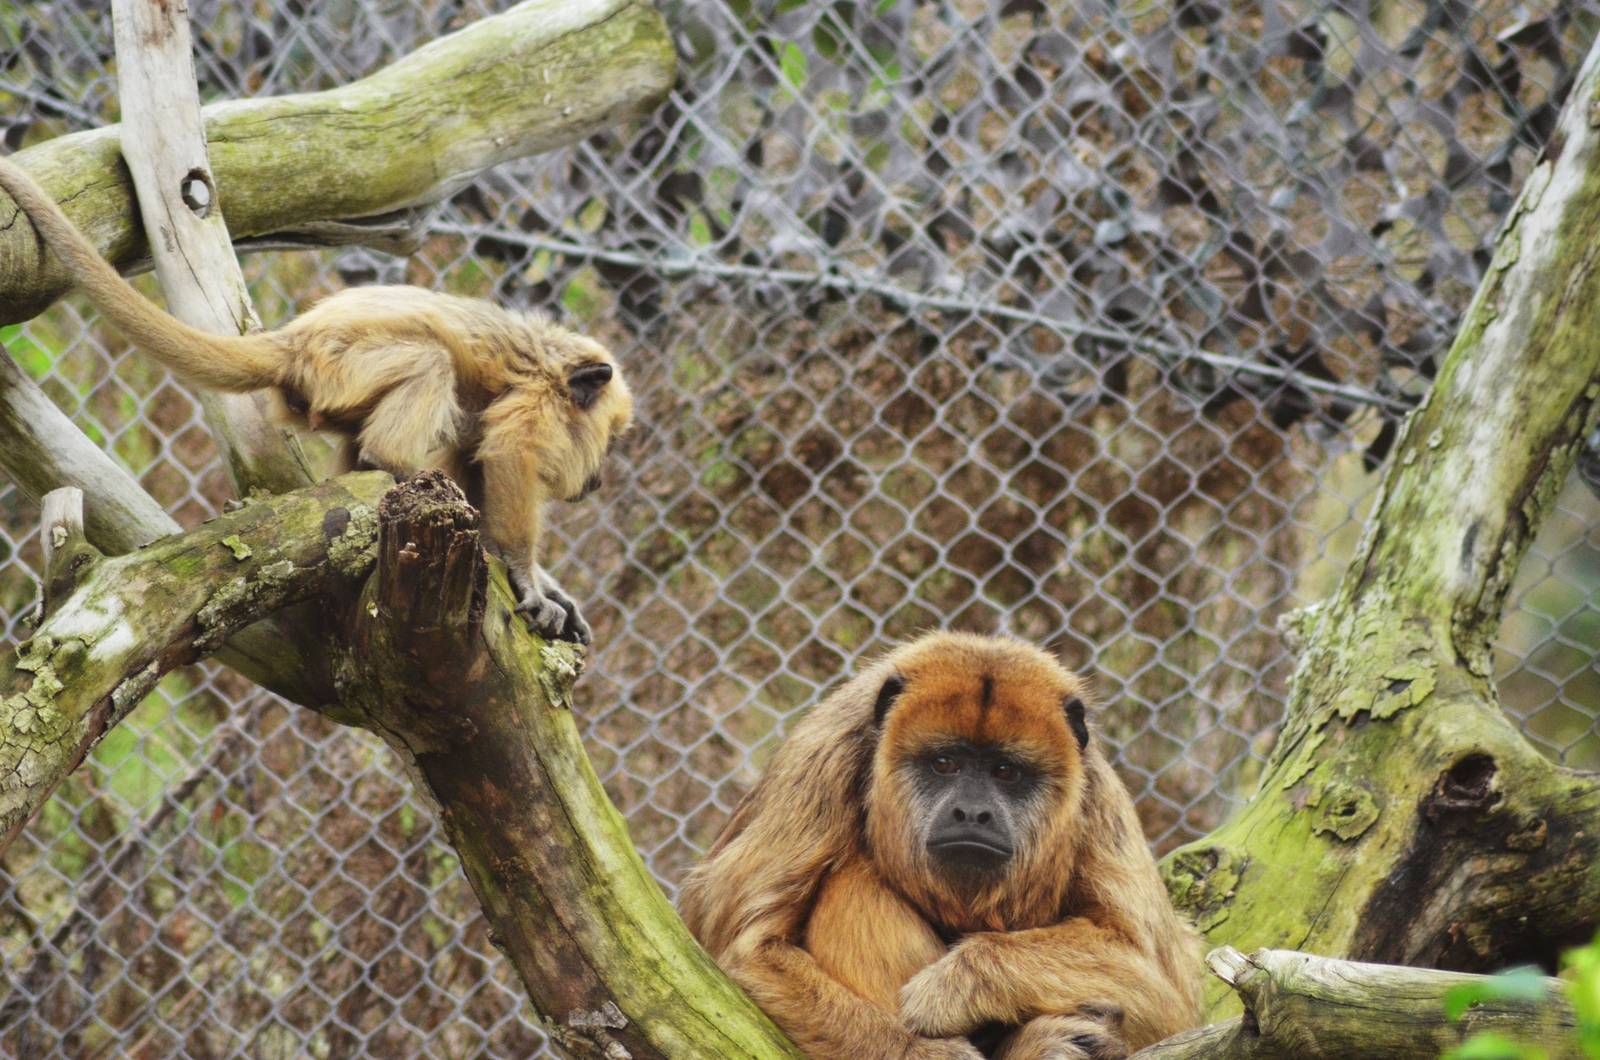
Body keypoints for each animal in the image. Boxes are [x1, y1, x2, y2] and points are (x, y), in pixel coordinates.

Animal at [0, 155, 632, 644]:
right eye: (606, 444)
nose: (599, 478)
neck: (555, 366)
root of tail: (294, 340)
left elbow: (478, 459)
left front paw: (549, 588)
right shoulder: (536, 400)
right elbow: (509, 455)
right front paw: (529, 582)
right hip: (342, 365)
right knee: (431, 362)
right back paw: (391, 462)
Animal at [679, 632, 1203, 1060]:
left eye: (1005, 772)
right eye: (945, 763)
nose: (972, 812)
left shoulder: (1096, 797)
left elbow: (1163, 992)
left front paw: (957, 984)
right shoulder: (824, 755)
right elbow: (745, 951)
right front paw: (923, 1050)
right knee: (853, 886)